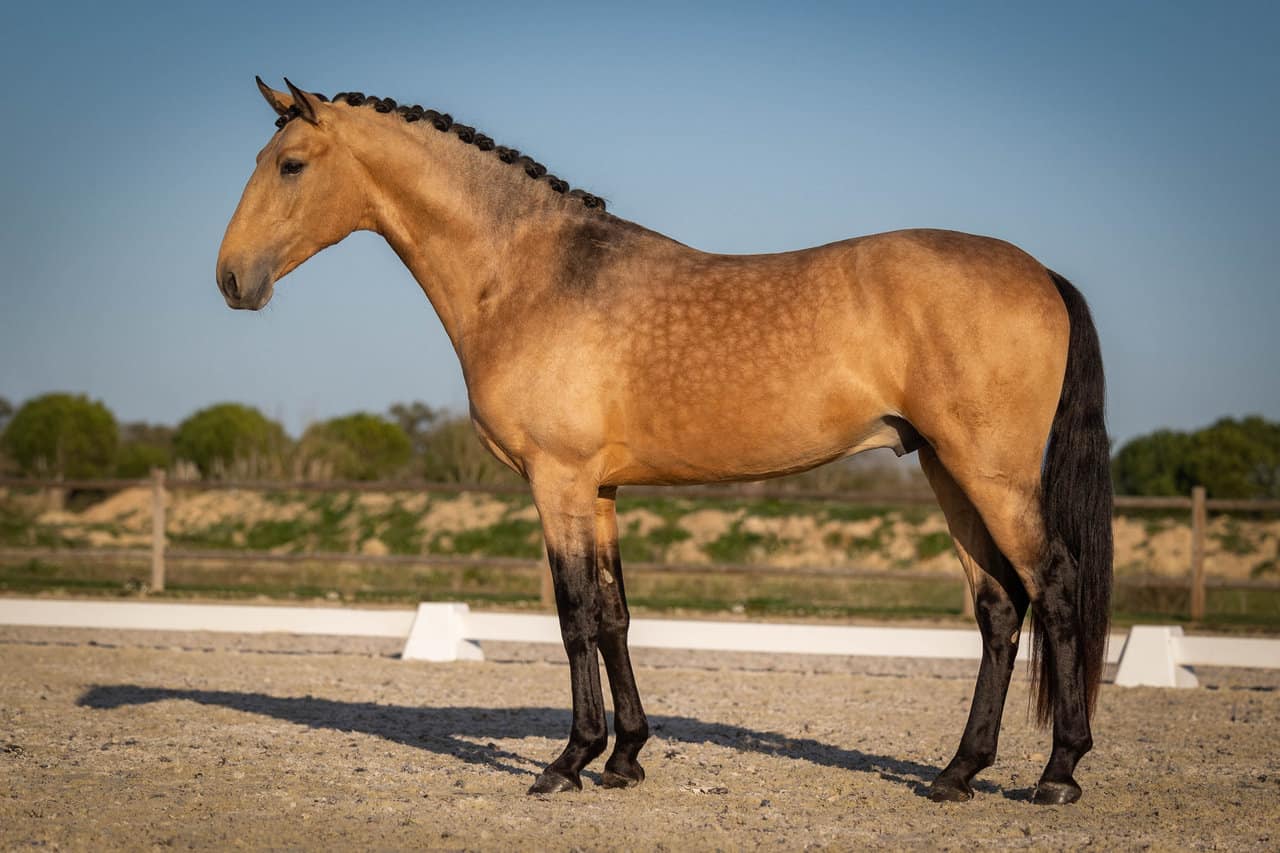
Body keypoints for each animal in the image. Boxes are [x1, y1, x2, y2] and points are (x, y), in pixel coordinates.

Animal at [217, 79, 1113, 805]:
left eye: (290, 163)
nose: (231, 278)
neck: (529, 274)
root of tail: (1041, 273)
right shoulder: (601, 489)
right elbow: (614, 612)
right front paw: (626, 757)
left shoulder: (558, 480)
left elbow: (574, 612)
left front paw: (568, 760)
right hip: (946, 469)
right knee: (998, 606)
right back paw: (957, 772)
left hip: (990, 474)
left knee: (1055, 585)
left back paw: (1059, 772)